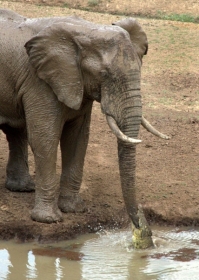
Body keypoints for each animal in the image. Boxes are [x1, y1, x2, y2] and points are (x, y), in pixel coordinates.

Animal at [0, 9, 169, 248]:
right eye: (105, 75)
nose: (142, 232)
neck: (86, 31)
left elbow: (78, 139)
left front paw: (74, 209)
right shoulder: (39, 81)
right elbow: (45, 138)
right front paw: (49, 220)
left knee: (16, 132)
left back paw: (23, 188)